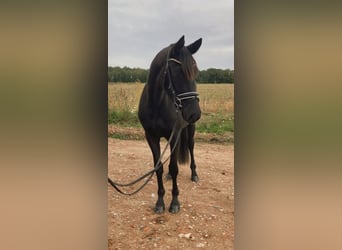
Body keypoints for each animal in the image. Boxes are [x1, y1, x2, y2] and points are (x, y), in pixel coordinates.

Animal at [139, 36, 202, 214]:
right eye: (177, 72)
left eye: (195, 72)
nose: (194, 113)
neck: (156, 102)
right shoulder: (151, 136)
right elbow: (158, 167)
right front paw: (160, 201)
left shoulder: (175, 136)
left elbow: (175, 167)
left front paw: (174, 202)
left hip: (189, 131)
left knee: (191, 148)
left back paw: (194, 174)